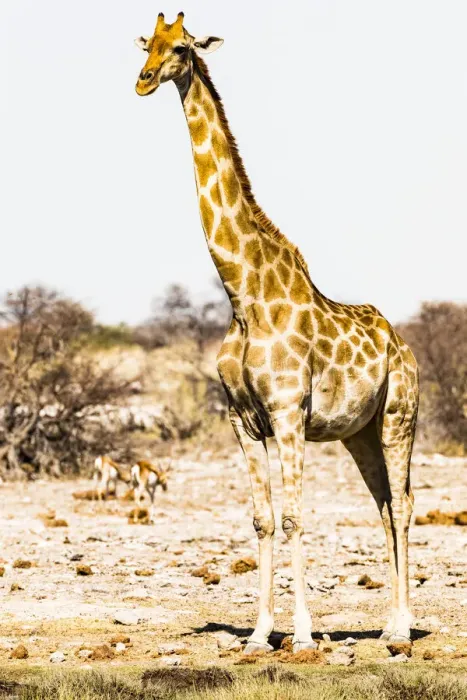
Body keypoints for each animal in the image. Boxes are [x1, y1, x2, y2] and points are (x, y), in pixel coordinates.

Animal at [134, 12, 419, 654]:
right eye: (146, 44)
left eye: (181, 47)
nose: (142, 80)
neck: (243, 293)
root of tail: (406, 347)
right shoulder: (242, 419)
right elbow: (262, 519)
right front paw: (260, 633)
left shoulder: (289, 413)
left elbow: (292, 517)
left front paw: (306, 635)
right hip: (359, 434)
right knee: (384, 506)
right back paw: (389, 624)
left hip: (399, 417)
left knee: (405, 505)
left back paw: (401, 630)